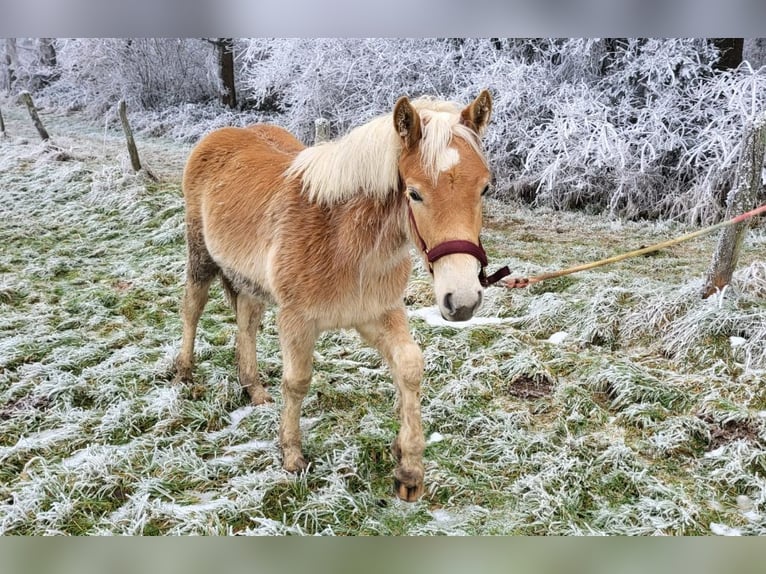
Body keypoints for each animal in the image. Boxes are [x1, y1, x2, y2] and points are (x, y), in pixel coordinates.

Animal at [177, 91, 496, 504]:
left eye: (484, 188)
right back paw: (184, 371)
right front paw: (292, 454)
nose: (463, 300)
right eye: (414, 193)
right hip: (201, 258)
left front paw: (409, 468)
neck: (342, 236)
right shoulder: (296, 320)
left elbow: (409, 367)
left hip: (248, 282)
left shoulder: (378, 313)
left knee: (246, 323)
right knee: (192, 308)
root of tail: (219, 136)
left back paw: (254, 389)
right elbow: (297, 381)